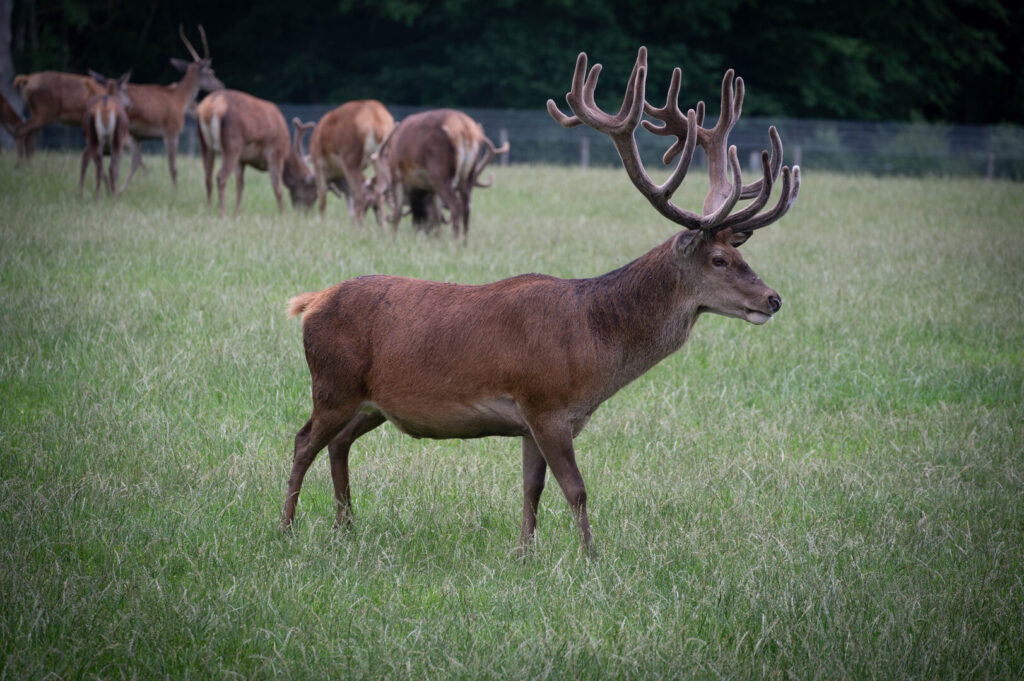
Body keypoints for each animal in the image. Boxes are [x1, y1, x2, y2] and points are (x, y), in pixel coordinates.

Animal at [77, 71, 132, 199]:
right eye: (125, 89)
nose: (129, 104)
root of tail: (105, 106)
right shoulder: (121, 145)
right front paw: (112, 191)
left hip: (94, 137)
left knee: (98, 166)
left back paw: (96, 196)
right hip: (117, 138)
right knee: (111, 167)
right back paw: (114, 196)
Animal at [119, 25, 224, 189]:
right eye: (210, 72)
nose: (221, 85)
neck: (180, 99)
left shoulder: (139, 136)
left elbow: (135, 162)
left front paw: (121, 190)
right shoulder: (172, 131)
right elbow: (173, 167)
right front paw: (175, 191)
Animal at [372, 108, 507, 238]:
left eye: (423, 214)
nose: (420, 230)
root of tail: (464, 129)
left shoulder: (397, 175)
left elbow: (397, 213)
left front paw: (393, 239)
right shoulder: (432, 188)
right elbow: (437, 217)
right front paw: (438, 239)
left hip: (440, 171)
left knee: (455, 205)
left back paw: (455, 242)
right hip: (468, 175)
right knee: (467, 206)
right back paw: (464, 242)